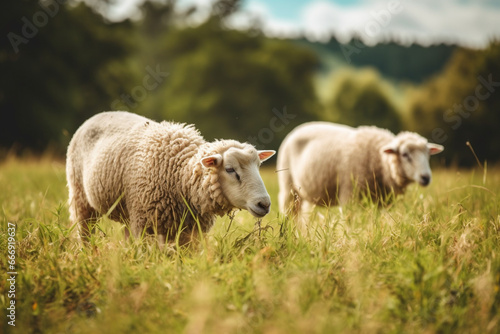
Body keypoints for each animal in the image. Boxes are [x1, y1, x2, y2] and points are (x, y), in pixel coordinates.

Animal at [65, 112, 276, 245]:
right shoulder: (146, 225)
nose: (264, 204)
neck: (180, 176)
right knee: (84, 233)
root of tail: (97, 116)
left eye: (258, 166)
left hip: (128, 210)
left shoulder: (190, 233)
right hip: (80, 198)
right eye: (230, 169)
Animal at [278, 122, 446, 217]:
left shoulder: (382, 202)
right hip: (289, 188)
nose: (426, 177)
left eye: (428, 154)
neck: (380, 161)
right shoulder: (349, 196)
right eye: (405, 154)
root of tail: (296, 129)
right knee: (290, 215)